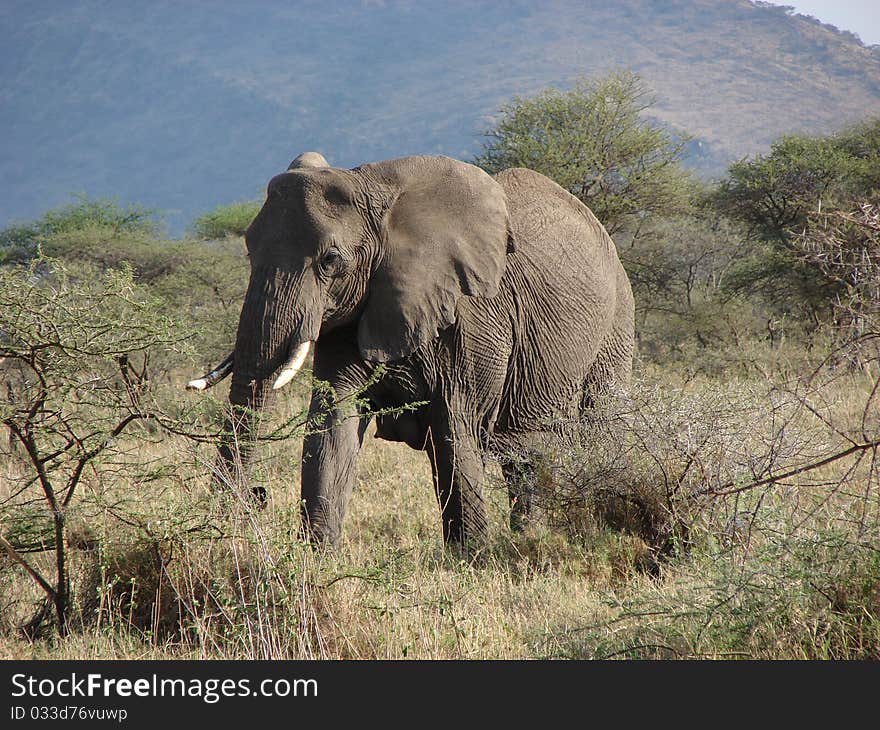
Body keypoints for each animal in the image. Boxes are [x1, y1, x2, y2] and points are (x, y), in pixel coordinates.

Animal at [191, 155, 632, 552]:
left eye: (331, 261)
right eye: (248, 250)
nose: (257, 496)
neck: (377, 194)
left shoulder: (470, 314)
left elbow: (455, 426)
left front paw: (472, 562)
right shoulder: (358, 308)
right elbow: (334, 423)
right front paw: (316, 559)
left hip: (616, 321)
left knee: (586, 430)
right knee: (525, 454)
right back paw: (530, 537)